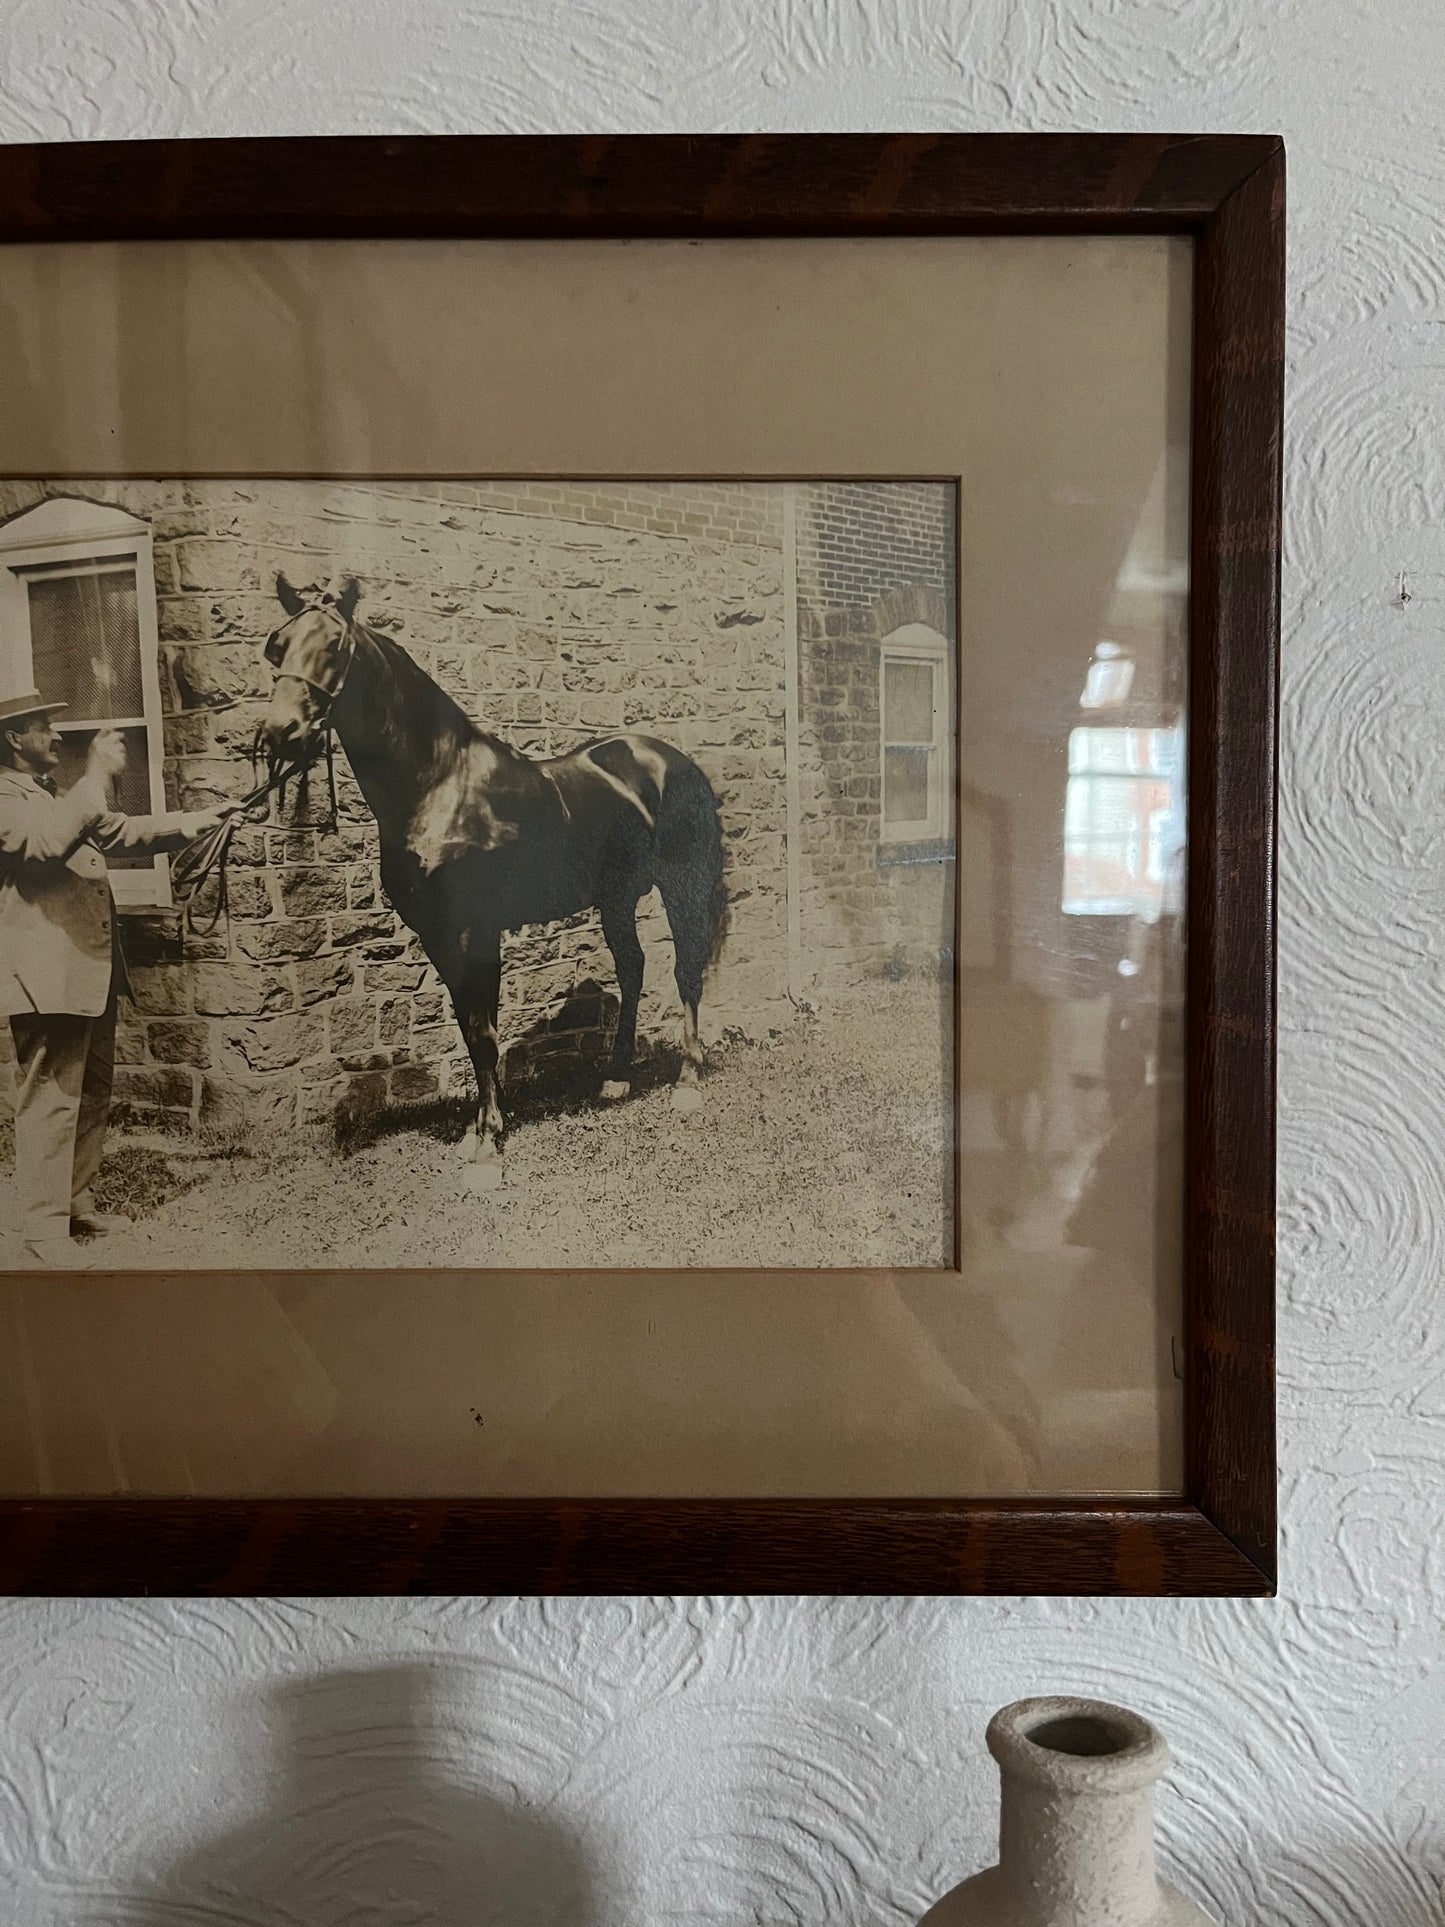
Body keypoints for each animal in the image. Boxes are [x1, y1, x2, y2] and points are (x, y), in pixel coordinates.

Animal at [258, 570, 728, 1163]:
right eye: (277, 646)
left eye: (334, 647)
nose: (280, 732)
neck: (440, 785)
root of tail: (677, 762)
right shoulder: (440, 935)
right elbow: (472, 1025)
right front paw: (486, 1125)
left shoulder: (472, 931)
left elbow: (482, 1031)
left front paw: (487, 1138)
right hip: (617, 897)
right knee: (632, 967)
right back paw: (617, 1077)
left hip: (682, 885)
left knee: (686, 968)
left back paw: (688, 1078)